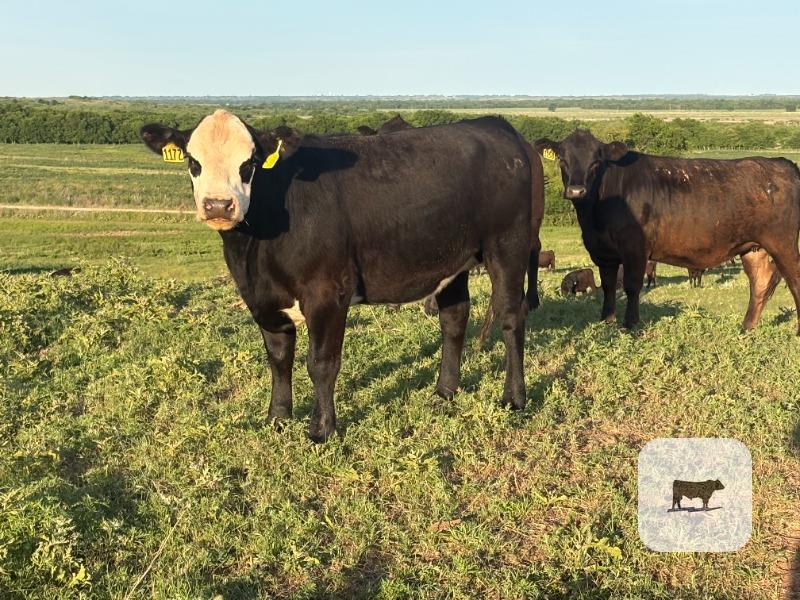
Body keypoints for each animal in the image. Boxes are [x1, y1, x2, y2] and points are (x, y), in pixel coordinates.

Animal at [140, 110, 534, 442]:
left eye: (249, 163)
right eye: (193, 162)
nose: (219, 205)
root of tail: (493, 123)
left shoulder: (327, 293)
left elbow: (321, 363)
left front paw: (321, 430)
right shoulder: (263, 297)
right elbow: (278, 359)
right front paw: (277, 418)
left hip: (508, 246)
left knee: (512, 316)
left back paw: (514, 399)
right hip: (452, 258)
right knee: (454, 318)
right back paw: (444, 393)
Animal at [535, 130, 800, 332]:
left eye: (596, 162)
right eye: (562, 160)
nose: (576, 191)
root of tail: (781, 163)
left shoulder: (635, 248)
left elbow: (632, 285)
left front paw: (630, 325)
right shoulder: (603, 252)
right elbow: (608, 286)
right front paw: (606, 321)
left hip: (782, 243)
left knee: (793, 279)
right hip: (754, 248)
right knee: (760, 283)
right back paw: (746, 328)